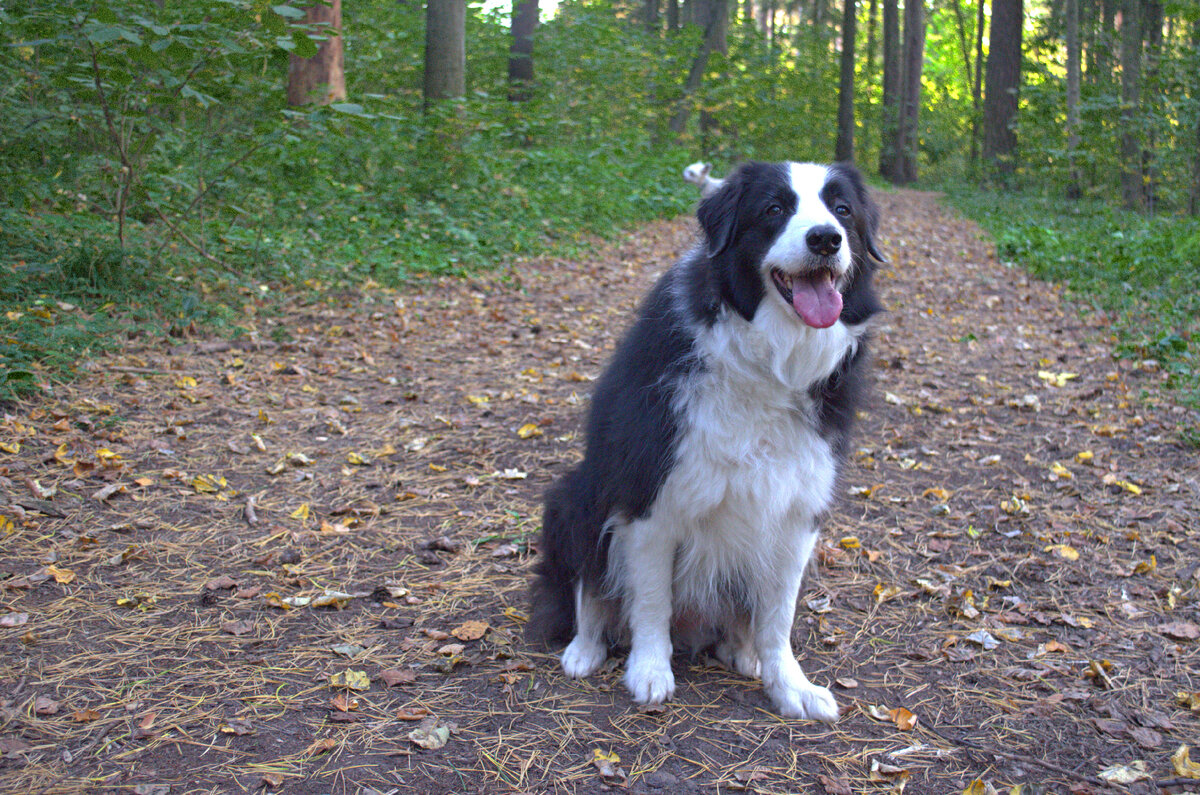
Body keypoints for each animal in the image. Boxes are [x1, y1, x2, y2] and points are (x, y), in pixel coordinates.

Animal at [530, 160, 888, 720]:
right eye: (774, 208)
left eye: (843, 210)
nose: (826, 239)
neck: (768, 362)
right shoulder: (649, 498)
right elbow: (650, 600)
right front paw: (650, 671)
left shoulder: (798, 509)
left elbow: (778, 616)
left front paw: (790, 685)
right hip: (573, 497)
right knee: (588, 590)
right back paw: (584, 649)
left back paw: (743, 652)